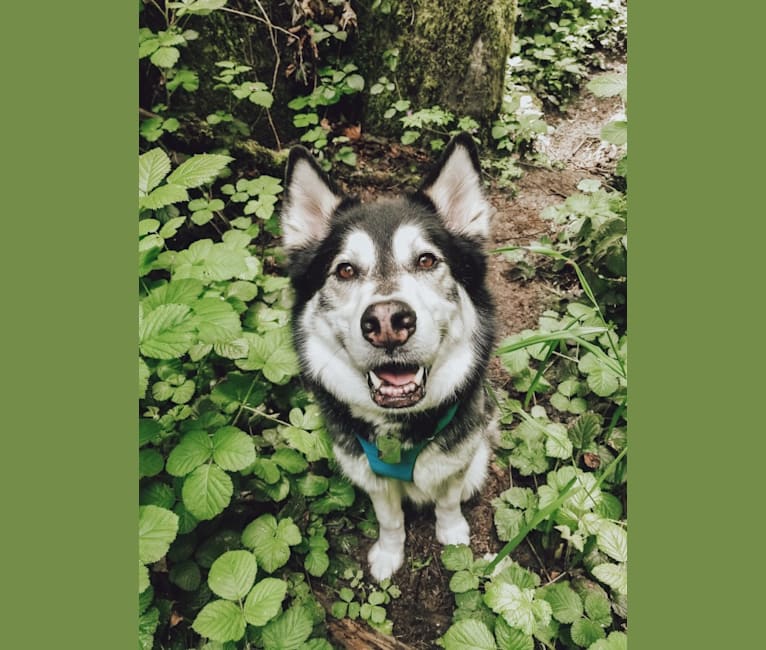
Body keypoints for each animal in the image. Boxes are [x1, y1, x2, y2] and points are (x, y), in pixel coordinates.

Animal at [280, 132, 498, 576]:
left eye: (427, 260)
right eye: (345, 270)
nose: (385, 321)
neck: (400, 430)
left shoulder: (458, 460)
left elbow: (448, 500)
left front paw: (452, 534)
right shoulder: (371, 477)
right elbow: (390, 519)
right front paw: (389, 554)